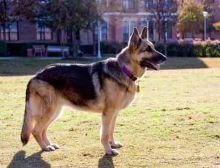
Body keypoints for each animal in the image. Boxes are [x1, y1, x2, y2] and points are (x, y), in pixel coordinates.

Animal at [21, 26, 167, 157]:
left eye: (153, 47)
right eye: (147, 49)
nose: (165, 58)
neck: (124, 69)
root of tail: (35, 76)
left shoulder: (114, 113)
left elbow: (111, 130)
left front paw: (113, 144)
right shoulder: (108, 113)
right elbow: (105, 134)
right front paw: (108, 150)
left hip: (55, 111)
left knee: (42, 130)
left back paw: (49, 145)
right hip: (50, 111)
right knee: (36, 130)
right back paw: (45, 147)